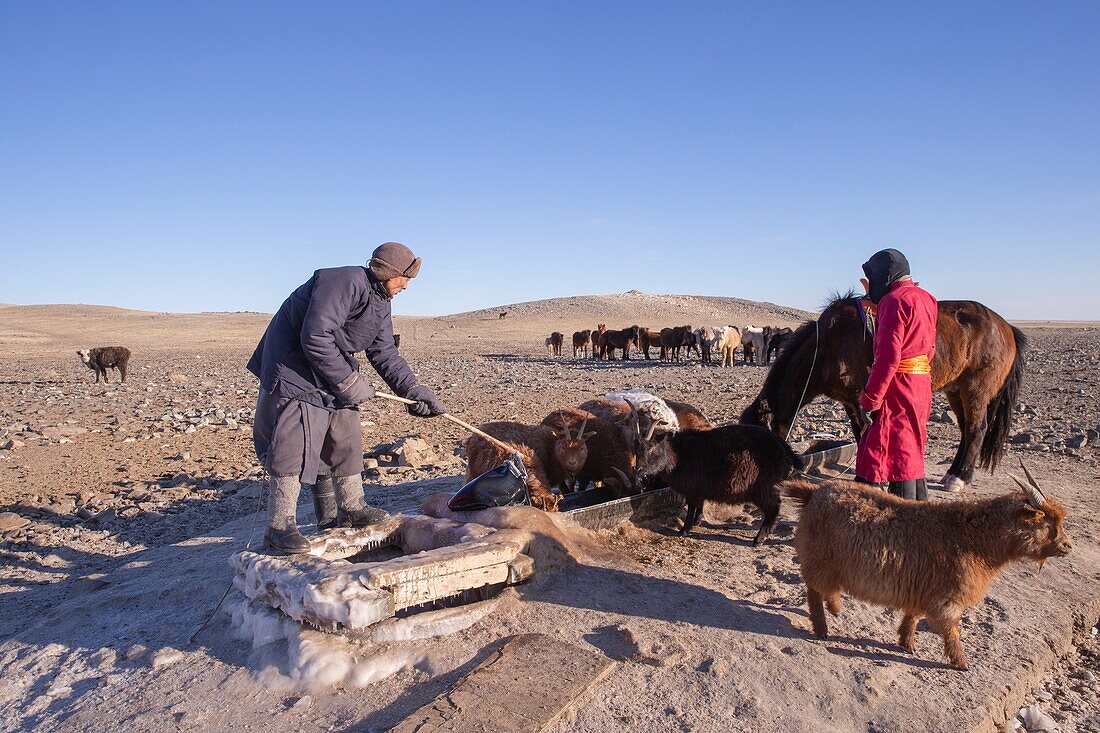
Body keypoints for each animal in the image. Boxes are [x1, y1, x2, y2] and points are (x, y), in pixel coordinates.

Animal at [743, 290, 1025, 490]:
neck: (828, 346)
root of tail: (1007, 328)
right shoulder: (850, 401)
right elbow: (859, 435)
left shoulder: (862, 397)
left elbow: (867, 435)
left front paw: (872, 480)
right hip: (956, 390)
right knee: (966, 430)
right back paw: (951, 474)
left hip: (975, 389)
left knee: (977, 429)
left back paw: (961, 478)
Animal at [787, 468, 1069, 669]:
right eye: (1047, 523)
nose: (1068, 546)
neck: (972, 537)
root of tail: (813, 492)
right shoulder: (946, 597)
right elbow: (951, 629)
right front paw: (961, 663)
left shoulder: (922, 587)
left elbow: (913, 616)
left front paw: (906, 643)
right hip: (819, 559)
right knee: (814, 590)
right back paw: (822, 628)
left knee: (824, 589)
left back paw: (835, 609)